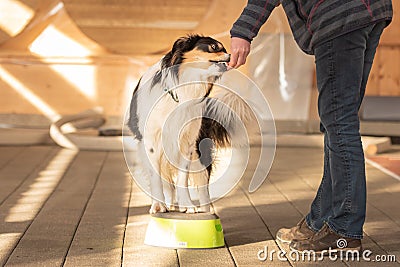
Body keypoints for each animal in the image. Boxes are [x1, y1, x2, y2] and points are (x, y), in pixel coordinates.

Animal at [129, 35, 250, 215]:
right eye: (214, 47)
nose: (230, 55)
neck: (184, 86)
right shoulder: (151, 142)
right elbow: (157, 178)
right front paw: (158, 206)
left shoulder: (187, 142)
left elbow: (183, 177)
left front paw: (187, 205)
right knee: (168, 184)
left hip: (199, 152)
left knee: (203, 188)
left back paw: (206, 211)